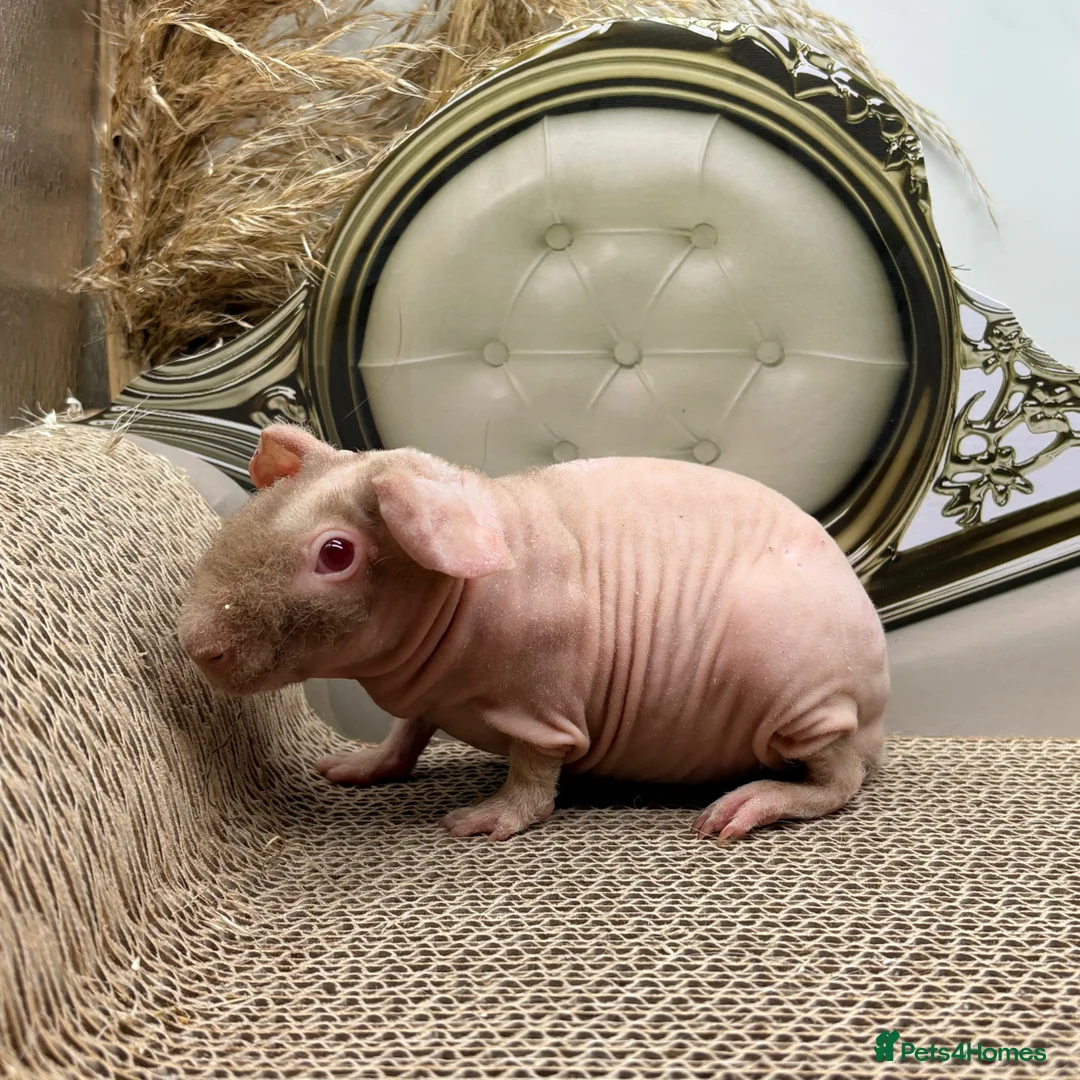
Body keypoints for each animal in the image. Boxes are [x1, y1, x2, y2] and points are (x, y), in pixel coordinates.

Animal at [178, 424, 888, 843]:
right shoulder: (425, 701)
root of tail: (877, 711)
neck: (460, 595)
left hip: (799, 696)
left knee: (838, 780)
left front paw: (482, 820)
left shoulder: (543, 706)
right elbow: (405, 734)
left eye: (335, 553)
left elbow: (534, 775)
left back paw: (747, 805)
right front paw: (354, 766)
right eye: (253, 511)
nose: (194, 645)